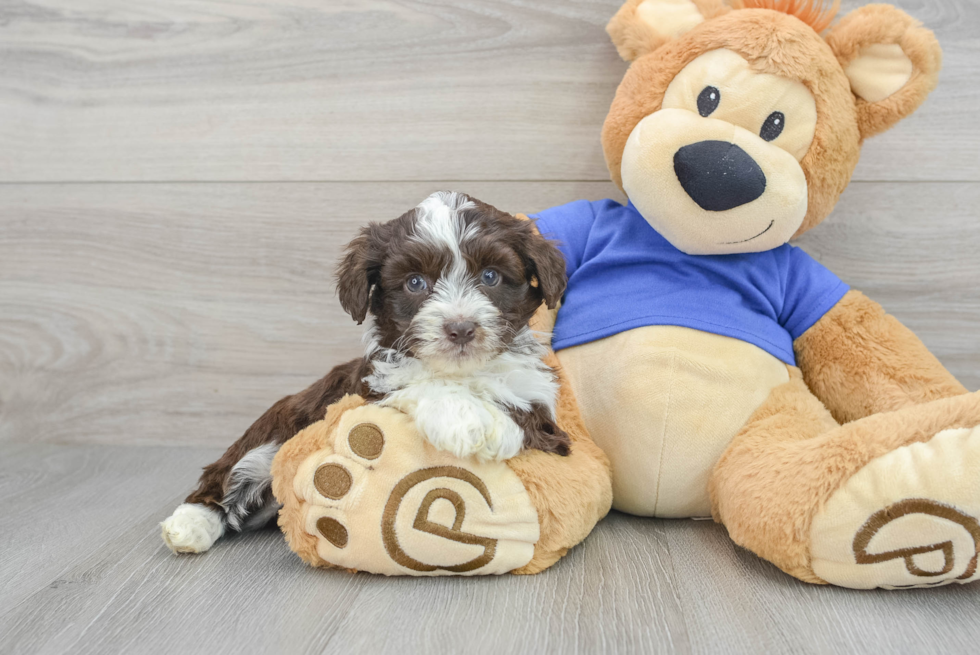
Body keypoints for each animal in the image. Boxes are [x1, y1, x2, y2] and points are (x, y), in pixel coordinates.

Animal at [161, 192, 572, 556]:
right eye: (415, 282)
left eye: (490, 276)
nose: (460, 329)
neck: (460, 371)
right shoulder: (369, 385)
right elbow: (416, 385)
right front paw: (467, 422)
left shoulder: (541, 403)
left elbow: (525, 414)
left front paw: (492, 423)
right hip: (271, 435)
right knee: (226, 474)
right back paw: (189, 525)